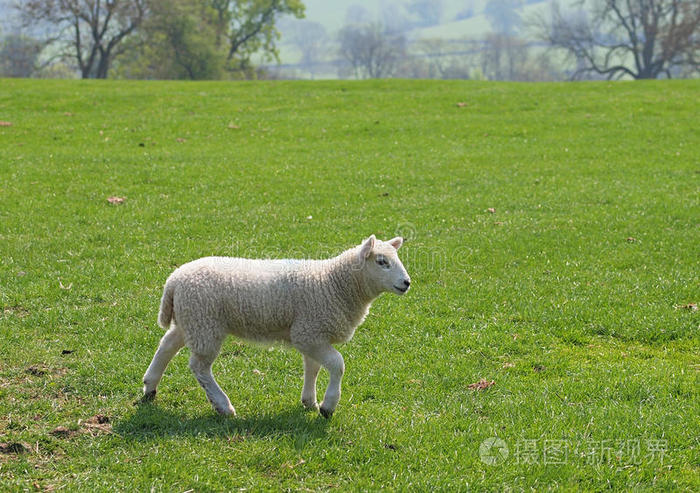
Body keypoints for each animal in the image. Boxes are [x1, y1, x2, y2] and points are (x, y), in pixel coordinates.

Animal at [142, 234, 410, 416]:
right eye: (382, 261)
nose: (407, 282)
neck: (333, 283)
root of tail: (174, 280)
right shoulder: (308, 333)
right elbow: (337, 364)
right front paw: (328, 406)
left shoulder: (313, 334)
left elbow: (313, 368)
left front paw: (309, 401)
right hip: (205, 324)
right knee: (199, 367)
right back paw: (223, 405)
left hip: (191, 320)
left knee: (166, 345)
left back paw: (149, 387)